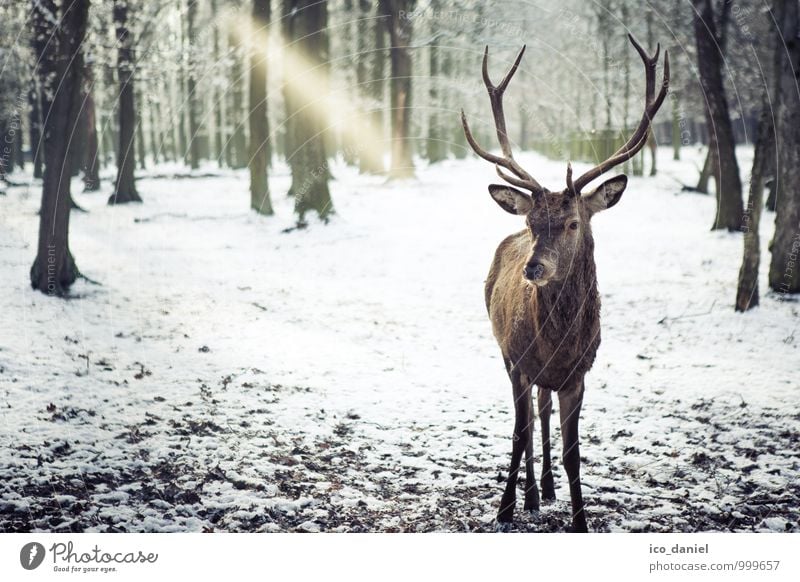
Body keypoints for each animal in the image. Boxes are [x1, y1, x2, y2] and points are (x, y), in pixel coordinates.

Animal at [462, 34, 668, 532]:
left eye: (574, 222)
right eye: (533, 222)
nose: (533, 268)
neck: (558, 342)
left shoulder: (579, 373)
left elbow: (574, 450)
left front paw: (579, 520)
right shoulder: (517, 361)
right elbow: (518, 434)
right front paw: (505, 509)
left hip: (546, 378)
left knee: (544, 410)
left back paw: (547, 489)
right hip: (506, 353)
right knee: (533, 420)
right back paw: (533, 495)